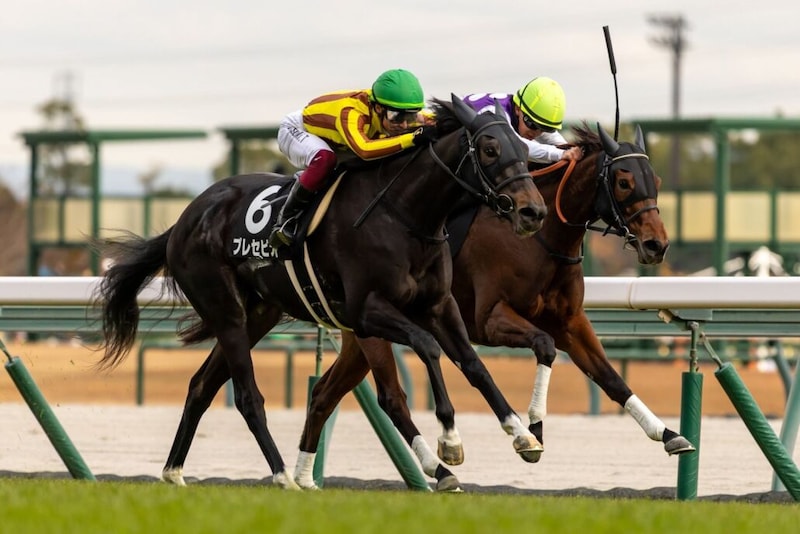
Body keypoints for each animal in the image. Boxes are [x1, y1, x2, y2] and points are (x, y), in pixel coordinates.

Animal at [94, 94, 548, 491]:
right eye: (489, 149)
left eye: (522, 147)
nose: (534, 212)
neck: (405, 214)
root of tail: (185, 220)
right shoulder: (367, 311)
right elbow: (426, 348)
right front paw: (450, 442)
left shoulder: (440, 305)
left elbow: (474, 365)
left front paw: (522, 434)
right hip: (226, 311)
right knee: (248, 397)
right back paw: (282, 475)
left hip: (259, 315)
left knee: (202, 385)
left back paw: (174, 472)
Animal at [298, 123, 694, 490]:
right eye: (624, 181)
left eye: (656, 179)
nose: (657, 244)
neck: (542, 238)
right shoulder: (491, 319)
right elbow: (544, 347)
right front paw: (534, 428)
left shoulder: (570, 321)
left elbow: (610, 377)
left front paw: (668, 434)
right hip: (374, 330)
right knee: (390, 397)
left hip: (360, 335)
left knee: (323, 394)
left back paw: (302, 476)